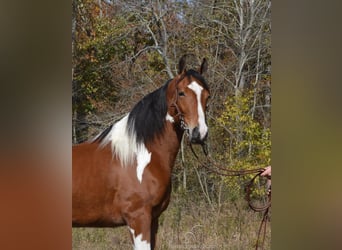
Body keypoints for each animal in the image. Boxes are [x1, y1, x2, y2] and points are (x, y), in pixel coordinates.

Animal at [73, 55, 208, 249]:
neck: (138, 157)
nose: (200, 133)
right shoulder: (138, 219)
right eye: (182, 93)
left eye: (207, 95)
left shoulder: (153, 220)